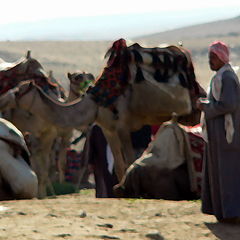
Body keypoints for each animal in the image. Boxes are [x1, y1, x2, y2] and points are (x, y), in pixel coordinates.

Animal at [0, 39, 206, 184]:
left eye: (18, 91)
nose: (3, 100)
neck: (96, 102)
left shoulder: (123, 126)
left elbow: (130, 160)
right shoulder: (108, 129)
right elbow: (120, 165)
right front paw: (117, 190)